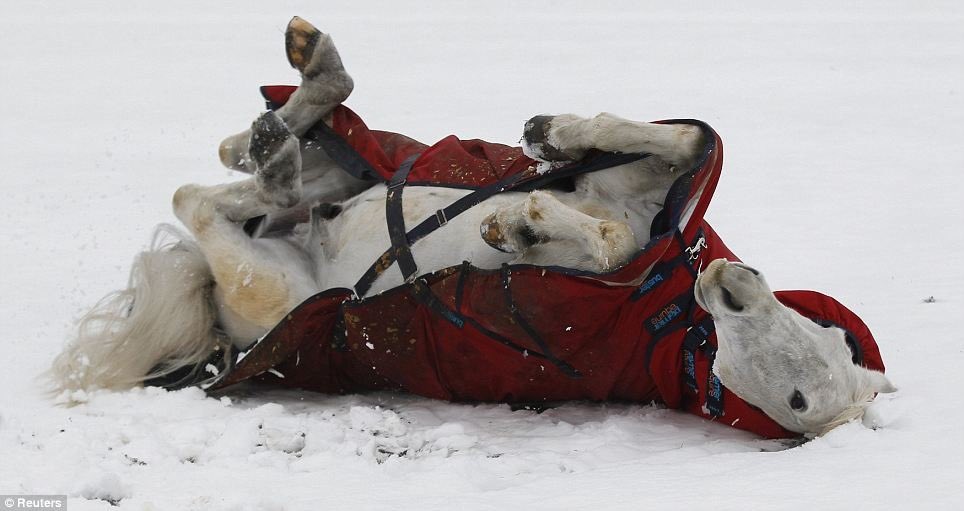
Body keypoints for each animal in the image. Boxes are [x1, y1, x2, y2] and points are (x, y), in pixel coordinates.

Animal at [49, 17, 895, 437]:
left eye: (798, 397)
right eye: (831, 337)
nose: (731, 282)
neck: (665, 289)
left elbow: (603, 239)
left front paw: (525, 228)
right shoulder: (652, 184)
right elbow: (684, 140)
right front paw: (556, 136)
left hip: (274, 289)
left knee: (200, 198)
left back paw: (279, 150)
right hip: (342, 181)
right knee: (274, 157)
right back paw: (289, 108)